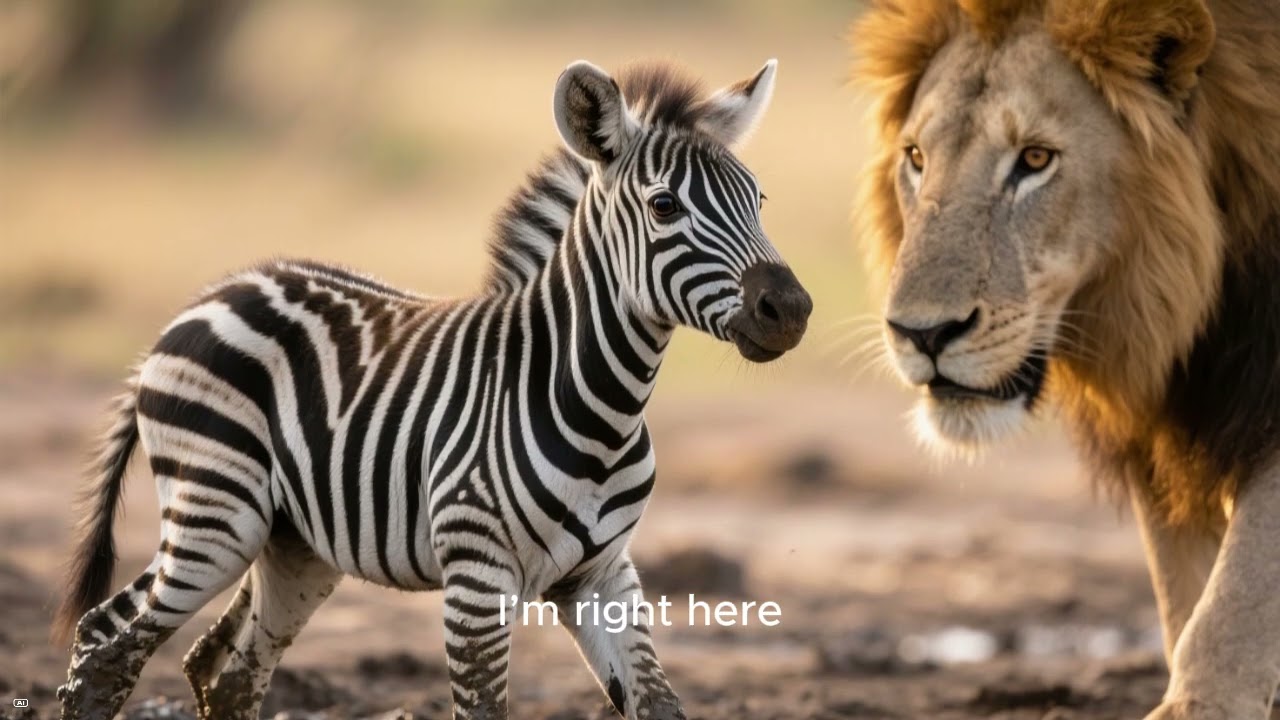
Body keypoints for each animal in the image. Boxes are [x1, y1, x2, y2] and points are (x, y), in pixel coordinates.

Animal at [851, 0, 1280, 718]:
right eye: (915, 157)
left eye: (1035, 158)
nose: (923, 333)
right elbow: (1182, 590)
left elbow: (1239, 592)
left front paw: (1200, 703)